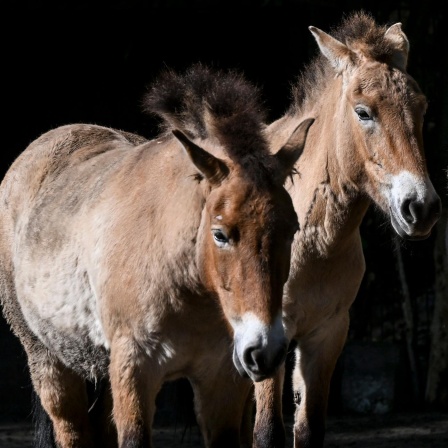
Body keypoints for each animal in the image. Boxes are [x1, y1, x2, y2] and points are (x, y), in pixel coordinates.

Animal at [0, 64, 314, 448]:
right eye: (220, 234)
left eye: (292, 230)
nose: (264, 351)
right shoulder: (135, 371)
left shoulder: (221, 379)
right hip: (50, 363)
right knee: (72, 431)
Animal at [250, 10, 442, 448]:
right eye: (363, 112)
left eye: (422, 108)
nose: (421, 207)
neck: (312, 243)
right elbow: (267, 432)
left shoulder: (328, 335)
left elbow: (309, 430)